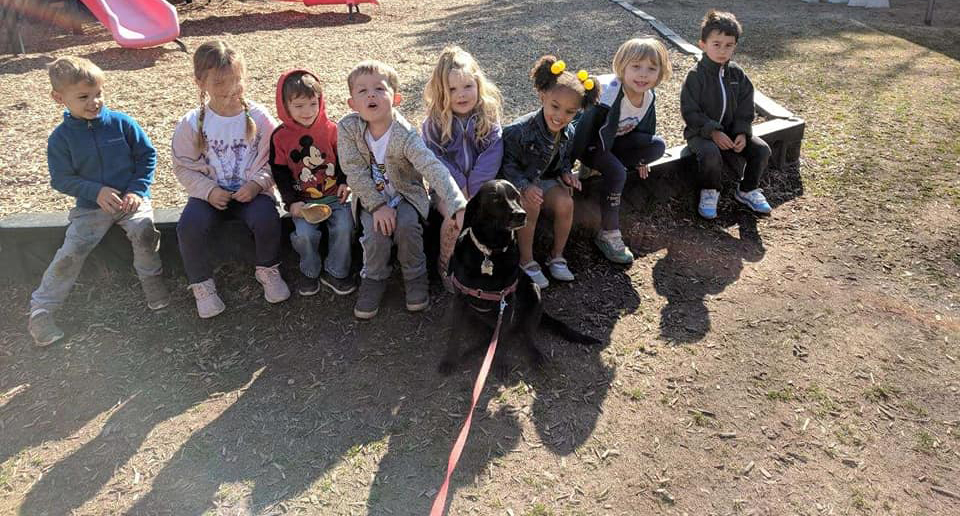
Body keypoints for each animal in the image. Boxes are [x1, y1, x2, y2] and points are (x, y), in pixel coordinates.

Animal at [436, 178, 600, 374]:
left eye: (517, 196)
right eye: (495, 198)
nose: (521, 214)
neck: (491, 251)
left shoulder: (507, 303)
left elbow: (501, 340)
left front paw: (501, 364)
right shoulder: (460, 301)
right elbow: (455, 335)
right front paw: (449, 360)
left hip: (534, 294)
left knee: (525, 335)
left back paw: (536, 356)